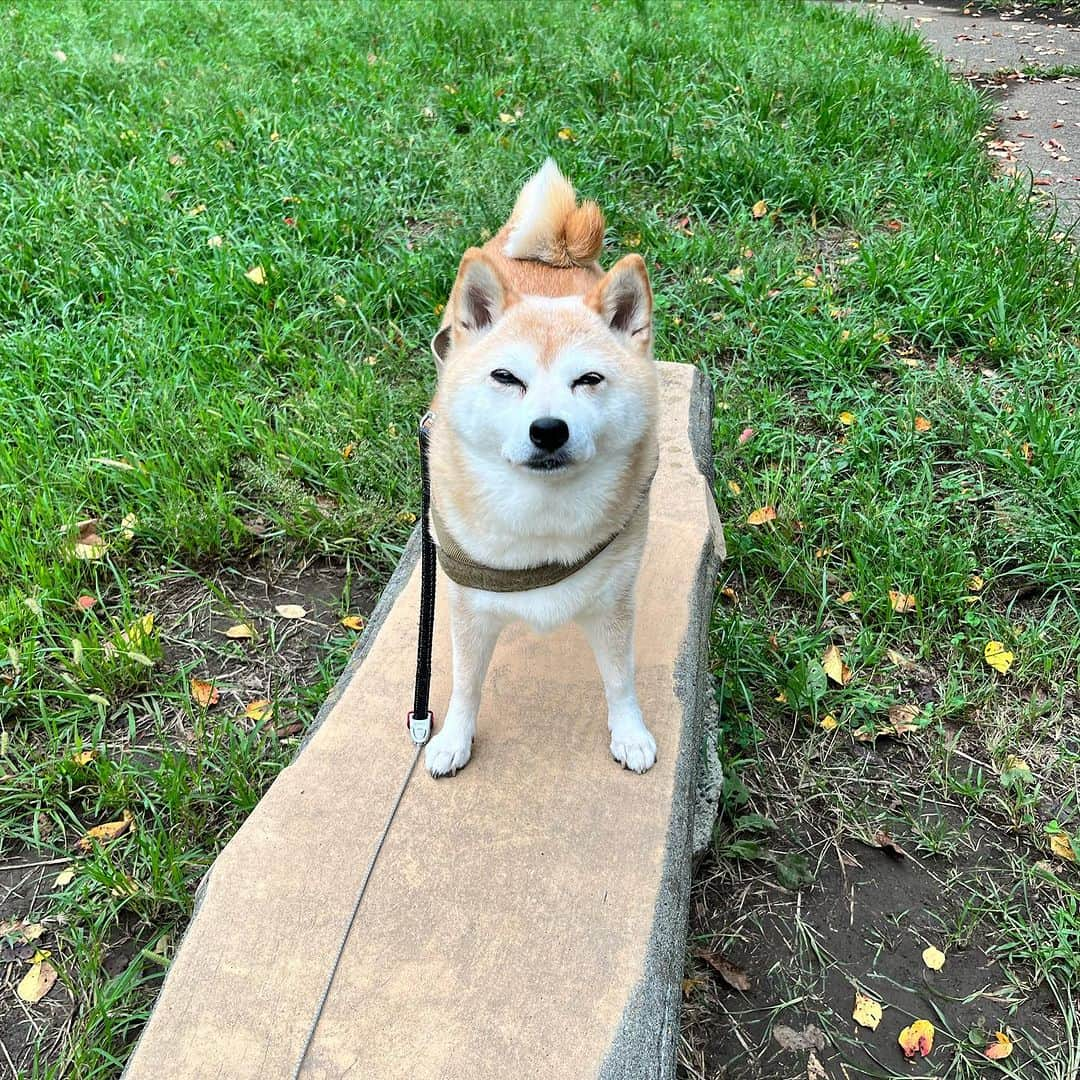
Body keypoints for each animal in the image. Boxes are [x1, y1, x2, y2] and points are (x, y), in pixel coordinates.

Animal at [421, 157, 656, 777]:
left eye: (589, 379)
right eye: (506, 377)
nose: (548, 429)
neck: (542, 519)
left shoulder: (614, 602)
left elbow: (620, 679)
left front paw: (630, 732)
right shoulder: (468, 604)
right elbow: (464, 685)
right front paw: (453, 739)